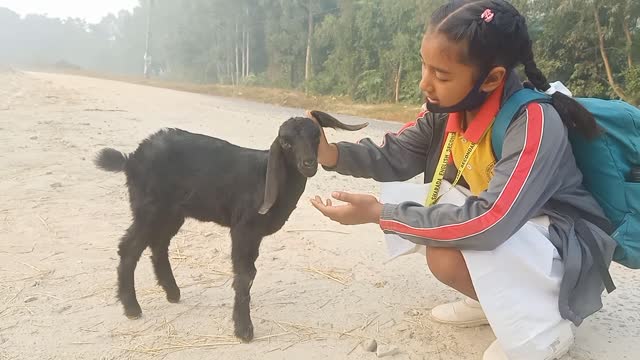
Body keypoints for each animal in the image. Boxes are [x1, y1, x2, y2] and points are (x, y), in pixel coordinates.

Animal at [92, 111, 368, 342]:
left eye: (316, 137)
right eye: (286, 143)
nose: (309, 164)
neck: (269, 176)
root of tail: (131, 159)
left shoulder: (253, 234)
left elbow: (249, 274)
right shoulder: (244, 229)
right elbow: (244, 275)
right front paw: (244, 329)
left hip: (171, 212)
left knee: (158, 246)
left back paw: (172, 293)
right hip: (149, 208)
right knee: (130, 247)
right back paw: (132, 307)